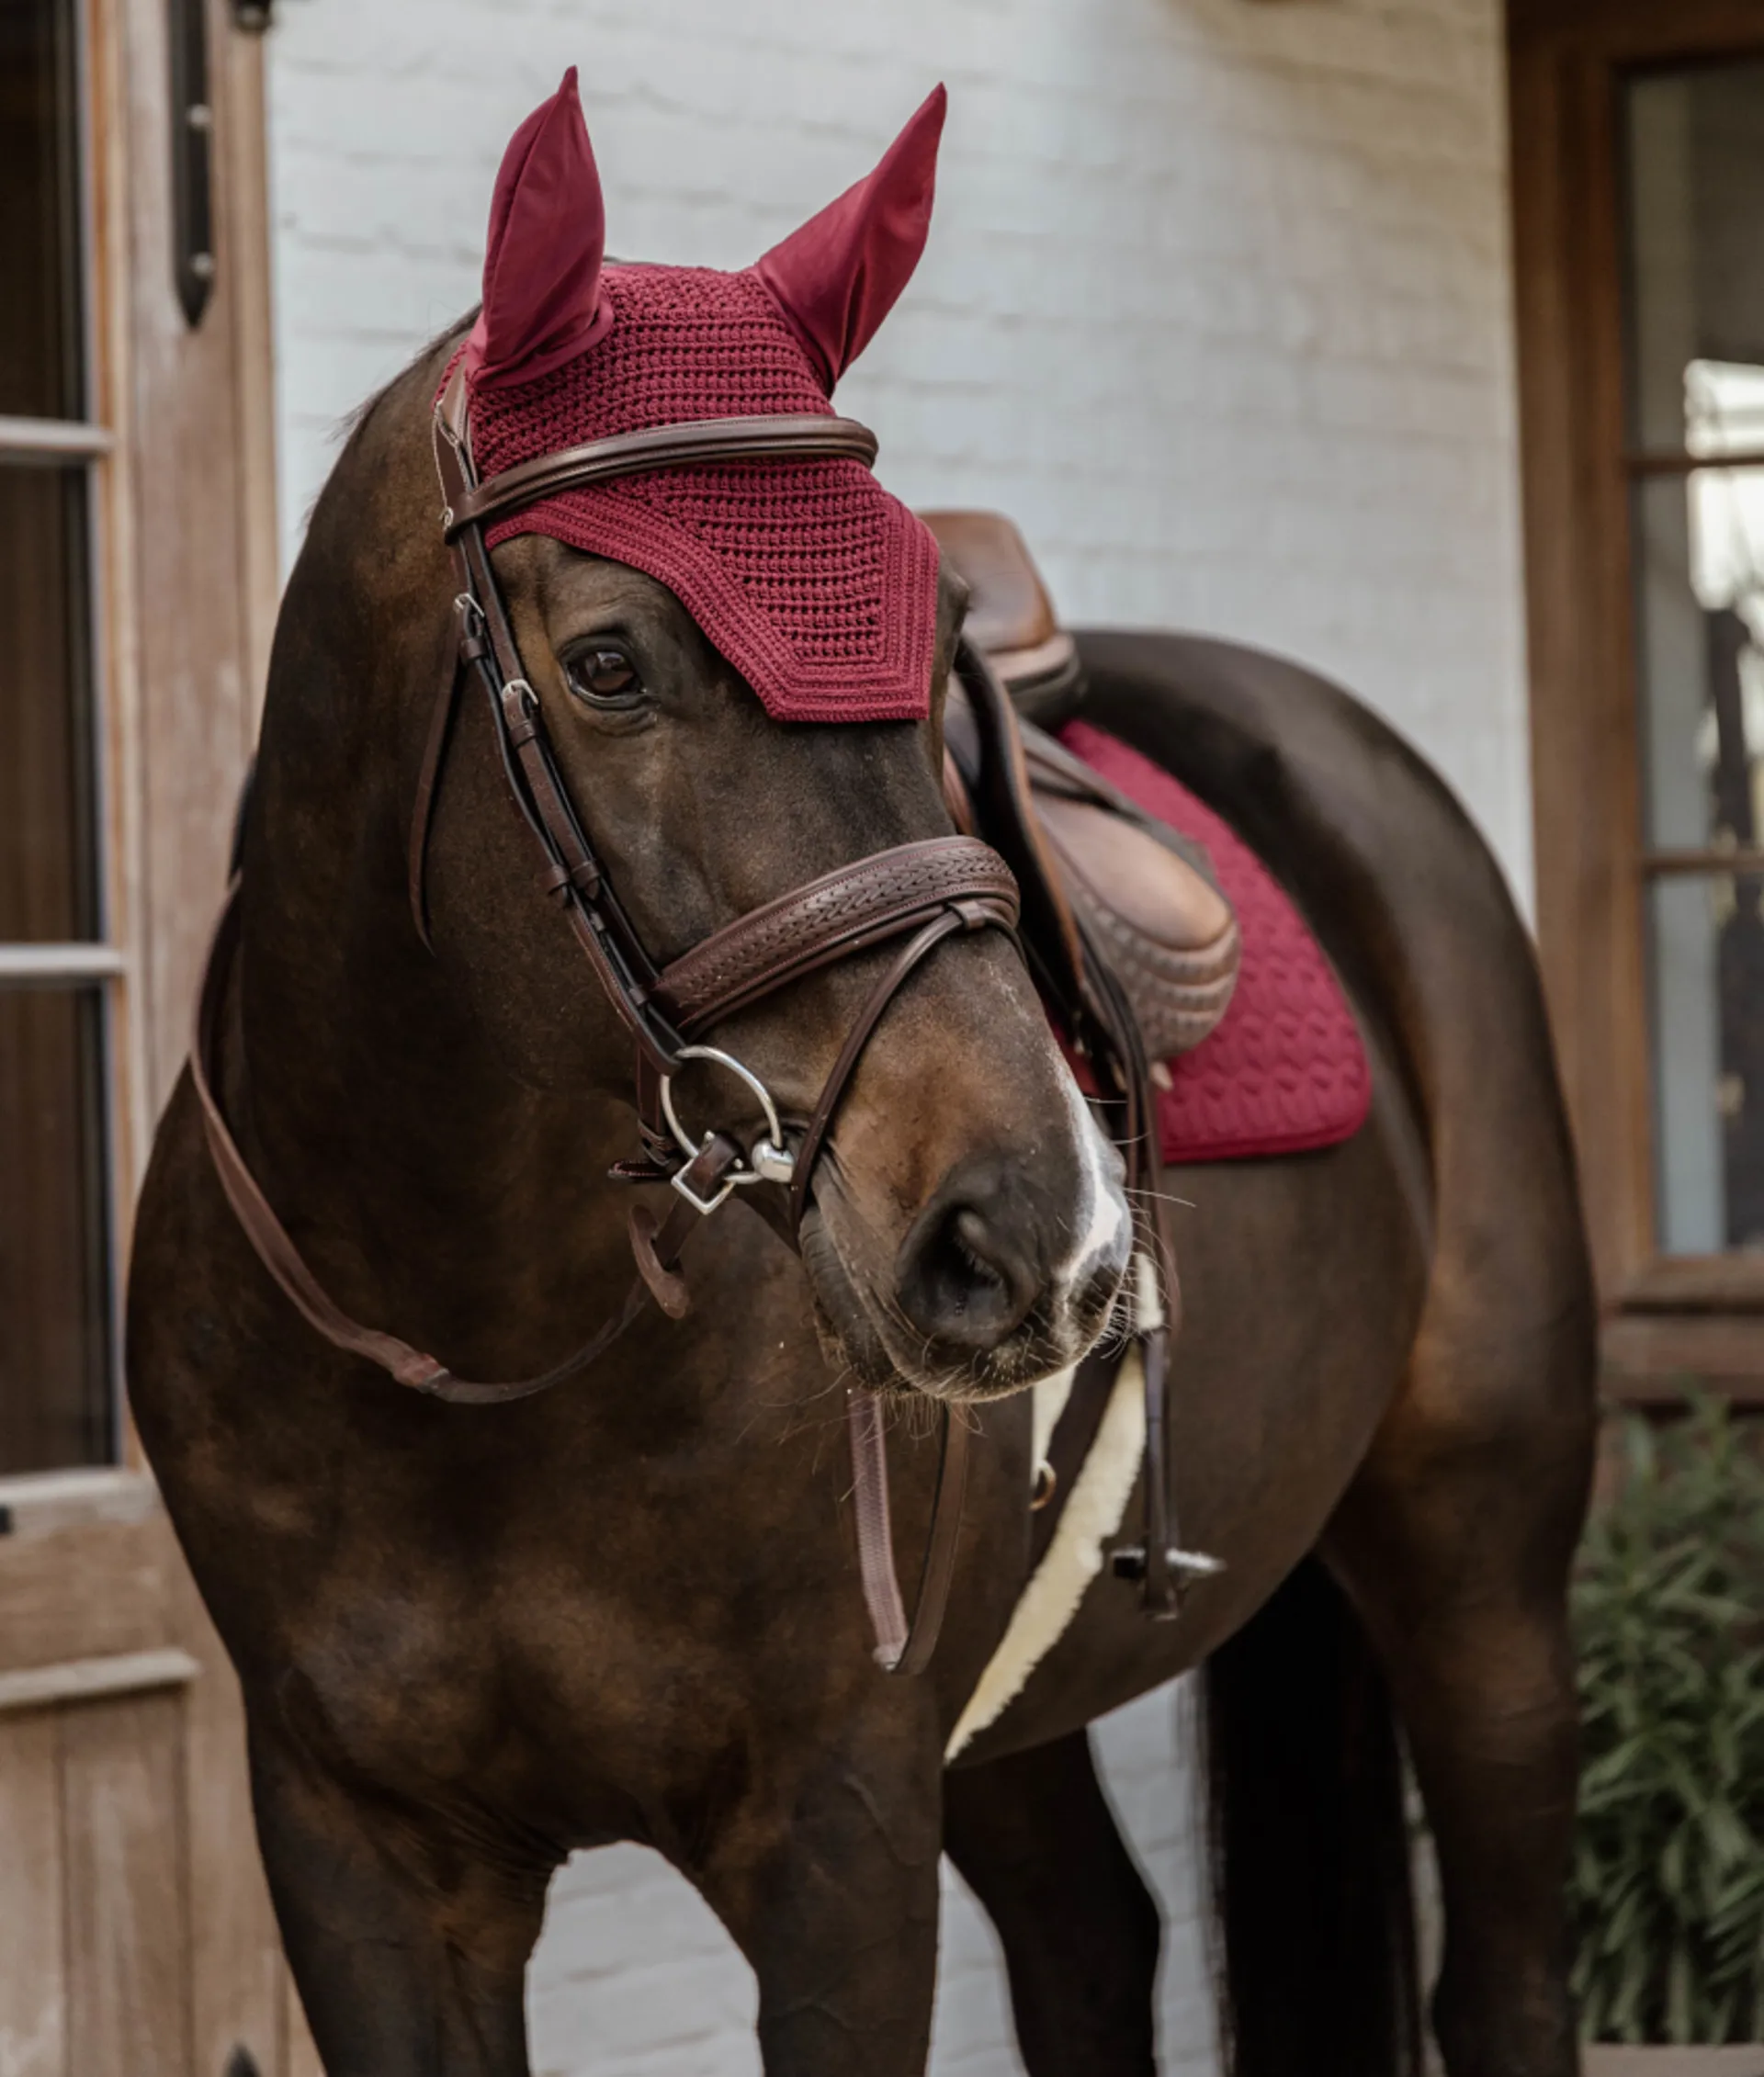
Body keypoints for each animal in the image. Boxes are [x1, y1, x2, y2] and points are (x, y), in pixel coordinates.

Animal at [126, 81, 1595, 2077]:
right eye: (609, 660)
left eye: (929, 638)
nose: (1038, 1235)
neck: (478, 1337)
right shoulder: (360, 1855)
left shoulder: (840, 1826)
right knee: (1093, 1937)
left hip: (1482, 1571)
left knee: (1501, 1974)